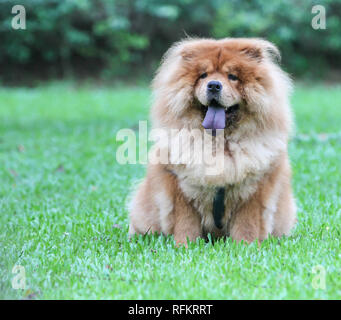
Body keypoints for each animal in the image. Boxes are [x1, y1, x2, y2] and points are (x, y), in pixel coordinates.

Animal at [127, 37, 294, 245]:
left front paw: (245, 246)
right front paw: (184, 246)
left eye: (232, 76)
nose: (214, 85)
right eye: (203, 75)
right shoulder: (180, 187)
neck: (219, 144)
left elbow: (247, 225)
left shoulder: (254, 190)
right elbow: (185, 223)